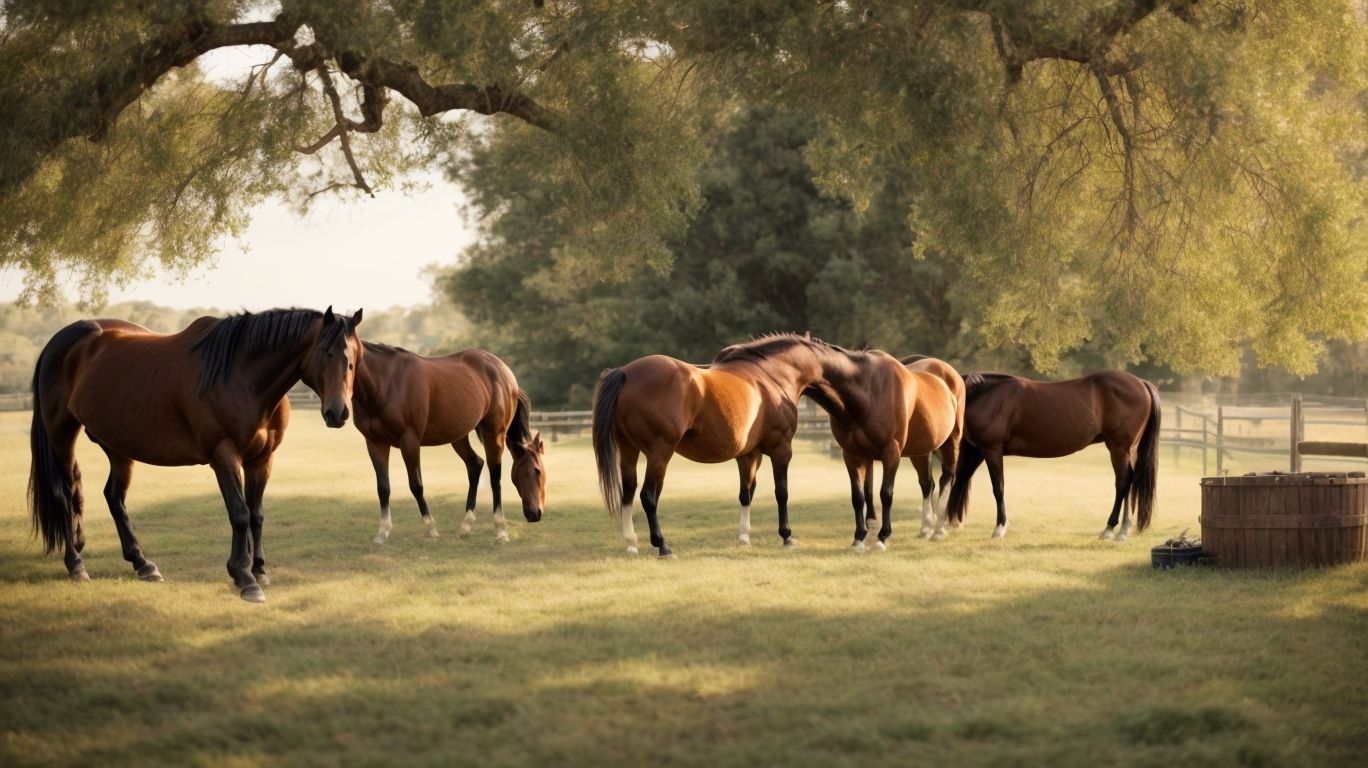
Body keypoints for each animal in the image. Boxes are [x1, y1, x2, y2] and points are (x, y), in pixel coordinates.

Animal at [28, 307, 363, 603]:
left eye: (354, 359)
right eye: (325, 353)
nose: (338, 413)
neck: (241, 376)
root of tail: (66, 340)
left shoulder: (261, 460)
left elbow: (256, 514)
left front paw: (258, 569)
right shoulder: (224, 456)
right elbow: (239, 513)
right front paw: (244, 577)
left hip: (118, 447)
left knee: (113, 497)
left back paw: (142, 564)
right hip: (61, 435)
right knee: (63, 495)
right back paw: (76, 565)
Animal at [351, 343, 545, 545]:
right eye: (537, 471)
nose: (535, 513)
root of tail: (506, 373)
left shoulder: (408, 441)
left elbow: (414, 485)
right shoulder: (378, 442)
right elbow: (388, 487)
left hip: (486, 434)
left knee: (488, 472)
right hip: (462, 436)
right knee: (478, 466)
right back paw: (469, 526)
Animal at [591, 334, 861, 557]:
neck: (771, 376)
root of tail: (626, 373)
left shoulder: (749, 455)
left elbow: (746, 493)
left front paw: (743, 538)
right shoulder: (781, 449)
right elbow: (781, 492)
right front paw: (787, 537)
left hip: (629, 451)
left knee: (628, 493)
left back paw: (632, 544)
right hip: (660, 453)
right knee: (647, 496)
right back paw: (663, 546)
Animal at [803, 352, 960, 551]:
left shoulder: (890, 452)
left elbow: (885, 493)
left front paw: (882, 537)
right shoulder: (854, 454)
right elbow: (861, 494)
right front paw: (860, 537)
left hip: (951, 442)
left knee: (947, 477)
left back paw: (939, 529)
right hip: (921, 451)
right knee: (927, 484)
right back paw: (926, 528)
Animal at [942, 370, 1161, 540]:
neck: (987, 396)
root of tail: (1141, 383)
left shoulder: (991, 449)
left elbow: (998, 488)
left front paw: (1000, 527)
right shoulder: (979, 450)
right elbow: (961, 480)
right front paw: (945, 523)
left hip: (1118, 448)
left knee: (1122, 483)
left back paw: (1109, 529)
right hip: (1127, 450)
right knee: (1129, 481)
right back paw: (1123, 530)